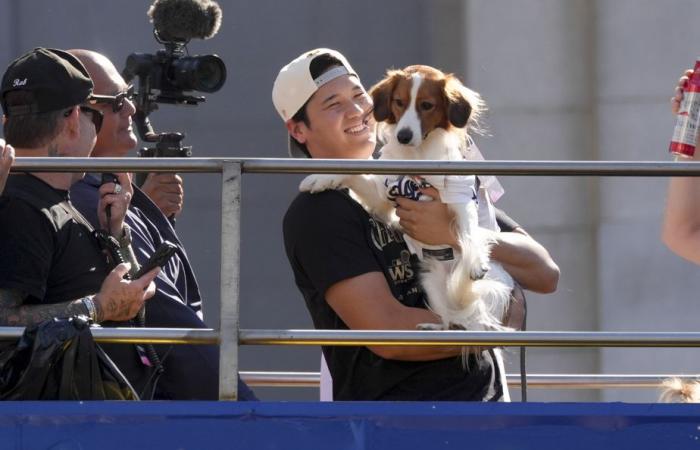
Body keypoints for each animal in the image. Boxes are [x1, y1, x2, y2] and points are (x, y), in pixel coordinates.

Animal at [300, 66, 516, 334]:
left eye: (427, 105)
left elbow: (467, 230)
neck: (418, 156)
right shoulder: (382, 196)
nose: (403, 135)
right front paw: (320, 178)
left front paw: (475, 260)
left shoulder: (459, 194)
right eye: (399, 102)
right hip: (431, 278)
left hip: (493, 283)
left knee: (475, 321)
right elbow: (352, 174)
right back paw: (436, 327)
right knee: (451, 319)